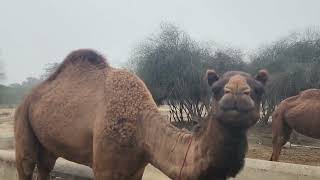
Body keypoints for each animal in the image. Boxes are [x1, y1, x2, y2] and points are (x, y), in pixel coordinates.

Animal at [15, 48, 268, 179]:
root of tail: (31, 94)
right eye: (215, 89)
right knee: (26, 164)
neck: (142, 128)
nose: (237, 92)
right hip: (22, 117)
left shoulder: (136, 168)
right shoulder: (105, 166)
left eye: (258, 89)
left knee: (45, 166)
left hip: (48, 141)